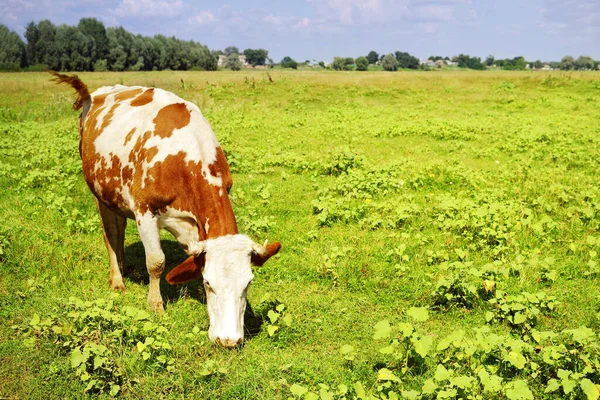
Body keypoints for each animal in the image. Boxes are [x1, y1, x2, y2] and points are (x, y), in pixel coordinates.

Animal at [49, 72, 282, 346]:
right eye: (208, 283)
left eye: (248, 283)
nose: (228, 340)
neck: (184, 157)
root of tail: (94, 95)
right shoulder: (144, 211)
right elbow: (156, 261)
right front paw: (155, 304)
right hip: (100, 192)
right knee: (112, 234)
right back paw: (117, 280)